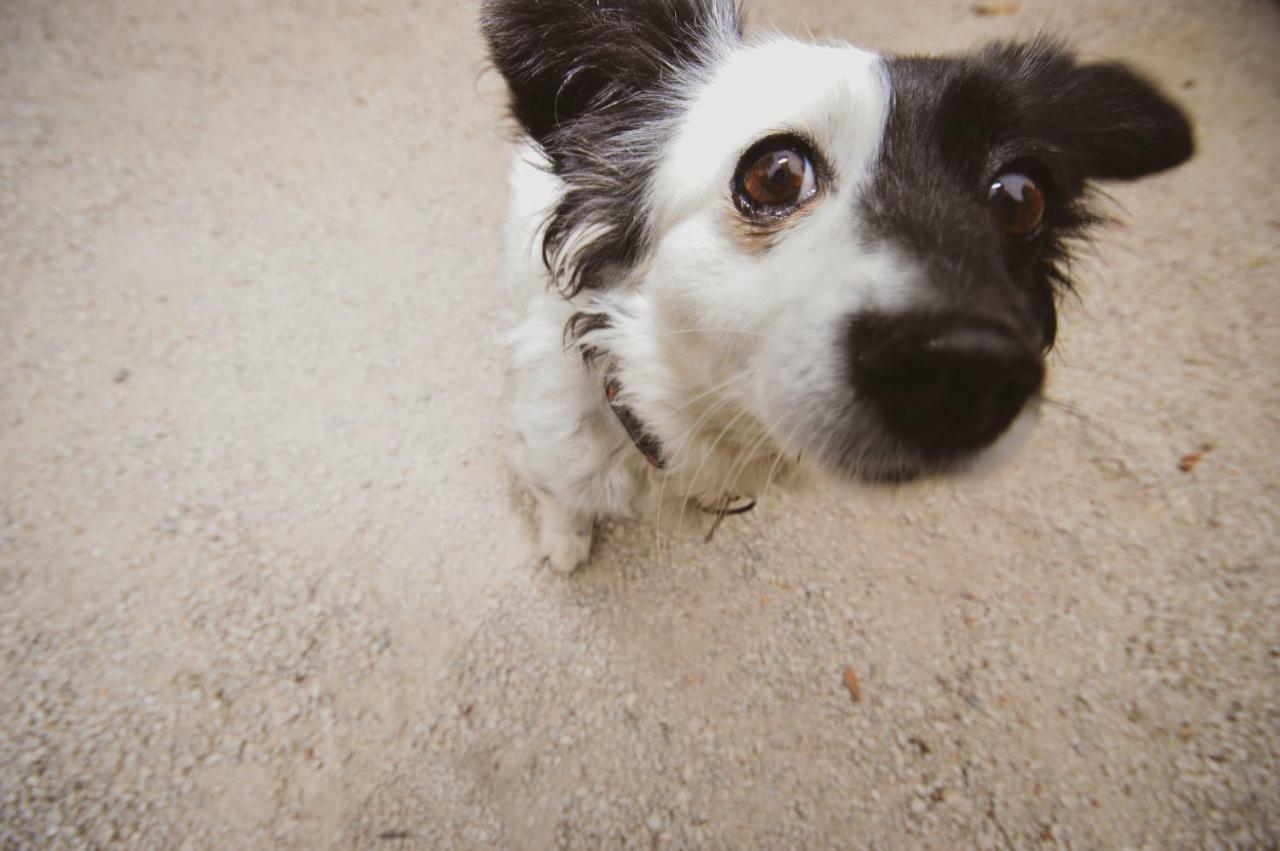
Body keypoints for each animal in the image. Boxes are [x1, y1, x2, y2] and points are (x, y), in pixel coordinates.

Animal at [481, 0, 1187, 573]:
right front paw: (565, 542)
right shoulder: (552, 445)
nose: (964, 366)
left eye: (1021, 196)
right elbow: (560, 497)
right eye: (775, 174)